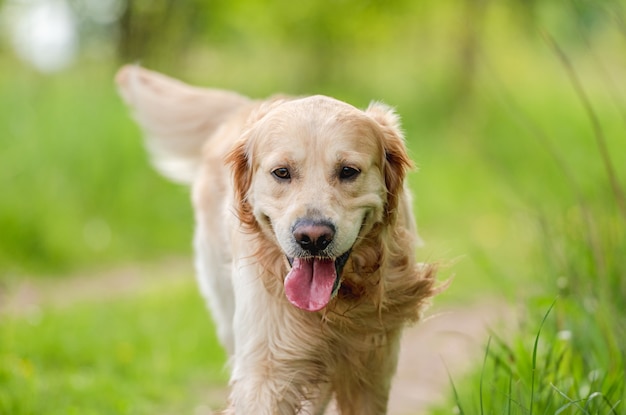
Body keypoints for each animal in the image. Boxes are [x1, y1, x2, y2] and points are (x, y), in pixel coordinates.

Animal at [116, 66, 438, 414]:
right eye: (281, 172)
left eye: (348, 171)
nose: (313, 237)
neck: (338, 303)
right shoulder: (266, 364)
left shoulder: (373, 365)